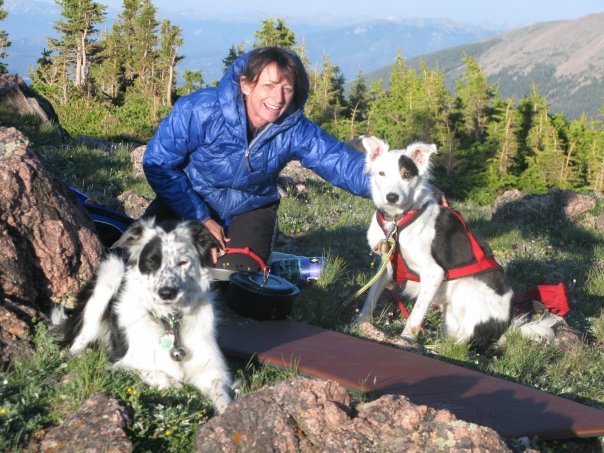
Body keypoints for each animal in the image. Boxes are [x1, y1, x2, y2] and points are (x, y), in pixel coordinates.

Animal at [52, 217, 231, 412]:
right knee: (74, 345)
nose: (166, 293)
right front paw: (173, 382)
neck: (170, 319)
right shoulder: (122, 362)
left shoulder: (212, 370)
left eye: (183, 262)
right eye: (151, 261)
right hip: (110, 272)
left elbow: (223, 394)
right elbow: (154, 373)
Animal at [354, 136, 556, 348]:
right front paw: (359, 323)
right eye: (381, 173)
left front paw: (406, 339)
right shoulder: (385, 265)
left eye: (406, 175)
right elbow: (370, 298)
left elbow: (416, 315)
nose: (392, 197)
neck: (397, 221)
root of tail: (503, 330)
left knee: (464, 342)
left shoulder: (434, 273)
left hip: (464, 286)